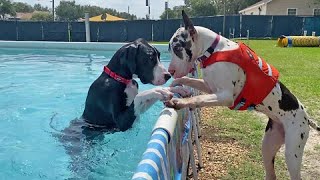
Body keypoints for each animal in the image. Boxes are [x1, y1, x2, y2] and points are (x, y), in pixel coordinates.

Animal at [165, 10, 320, 180]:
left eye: (177, 48)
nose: (170, 71)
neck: (212, 50)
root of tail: (306, 117)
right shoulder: (210, 88)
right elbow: (188, 80)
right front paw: (175, 86)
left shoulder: (225, 96)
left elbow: (198, 97)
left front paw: (180, 102)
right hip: (268, 145)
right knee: (271, 173)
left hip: (292, 152)